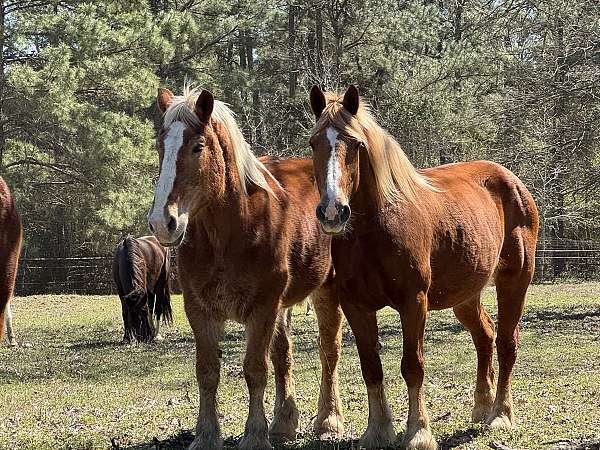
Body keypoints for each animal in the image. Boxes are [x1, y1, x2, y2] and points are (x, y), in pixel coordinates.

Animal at [148, 85, 344, 450]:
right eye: (160, 146)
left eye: (197, 147)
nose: (161, 223)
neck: (229, 234)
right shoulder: (200, 309)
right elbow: (207, 371)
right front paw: (206, 435)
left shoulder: (262, 308)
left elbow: (255, 369)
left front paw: (254, 434)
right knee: (284, 355)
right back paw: (283, 424)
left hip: (327, 291)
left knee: (329, 352)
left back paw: (328, 421)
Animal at [310, 85, 540, 450]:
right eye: (313, 143)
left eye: (356, 144)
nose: (333, 211)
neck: (375, 230)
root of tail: (513, 182)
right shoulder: (355, 305)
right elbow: (371, 366)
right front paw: (378, 430)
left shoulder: (413, 302)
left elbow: (412, 366)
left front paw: (418, 432)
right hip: (466, 296)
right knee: (485, 337)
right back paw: (481, 407)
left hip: (514, 282)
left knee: (506, 343)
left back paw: (500, 415)